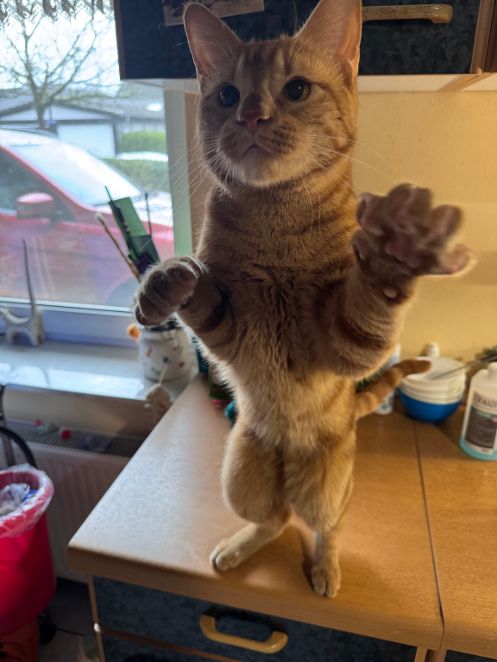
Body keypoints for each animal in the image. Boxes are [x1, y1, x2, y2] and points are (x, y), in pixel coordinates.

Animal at [135, 0, 469, 597]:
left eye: (295, 90)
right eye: (227, 96)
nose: (251, 116)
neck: (276, 223)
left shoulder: (344, 345)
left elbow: (369, 308)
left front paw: (392, 254)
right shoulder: (228, 327)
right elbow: (196, 287)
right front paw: (166, 278)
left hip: (328, 489)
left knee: (324, 526)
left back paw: (325, 569)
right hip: (240, 476)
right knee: (273, 518)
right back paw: (238, 547)